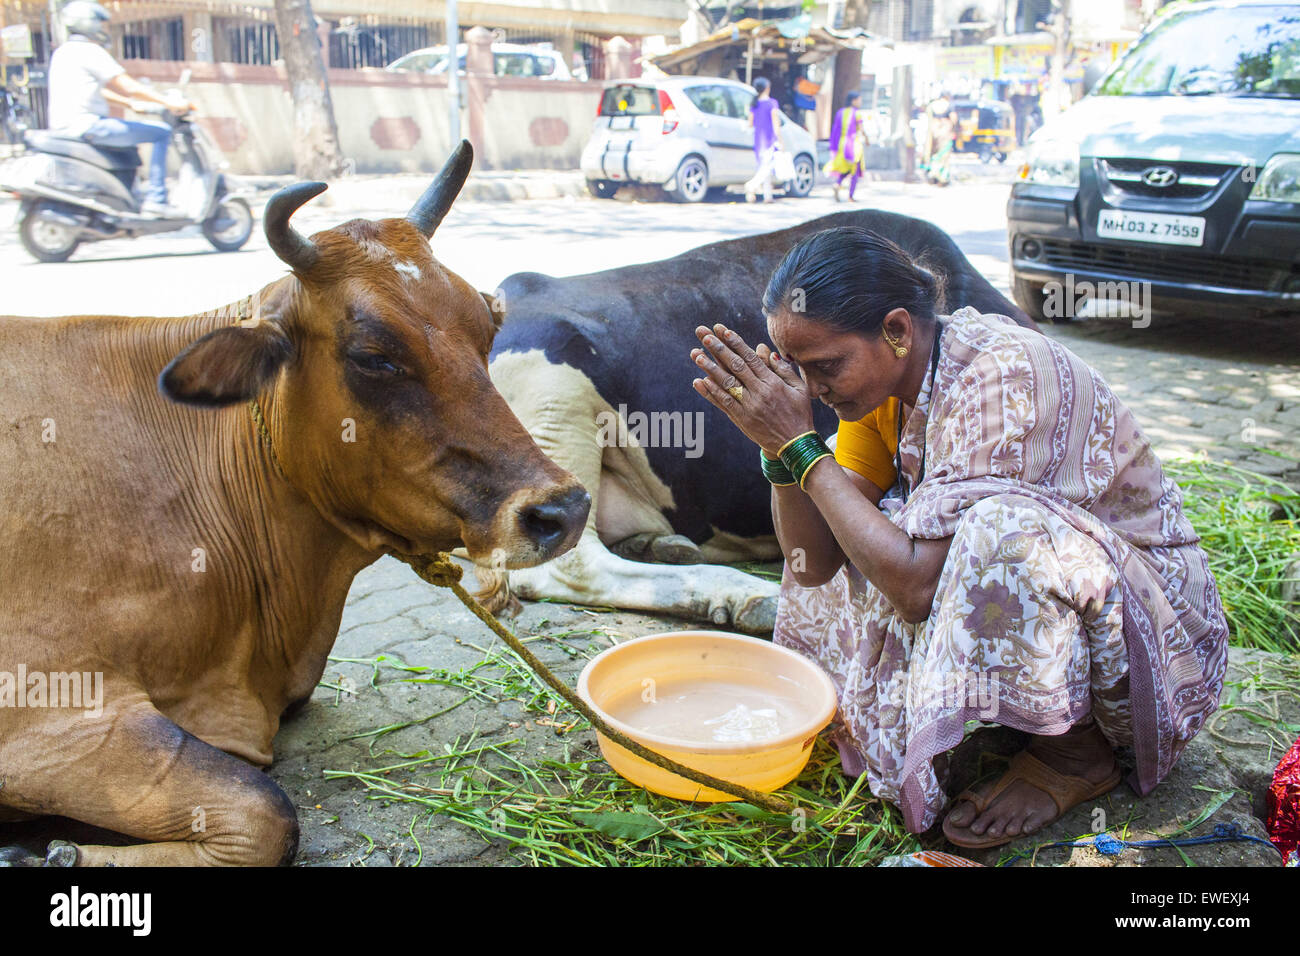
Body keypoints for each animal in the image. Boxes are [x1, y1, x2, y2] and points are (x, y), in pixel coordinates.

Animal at [0, 141, 590, 868]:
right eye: (373, 356)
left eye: (487, 329)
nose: (561, 510)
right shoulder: (46, 701)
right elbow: (265, 813)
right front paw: (52, 854)